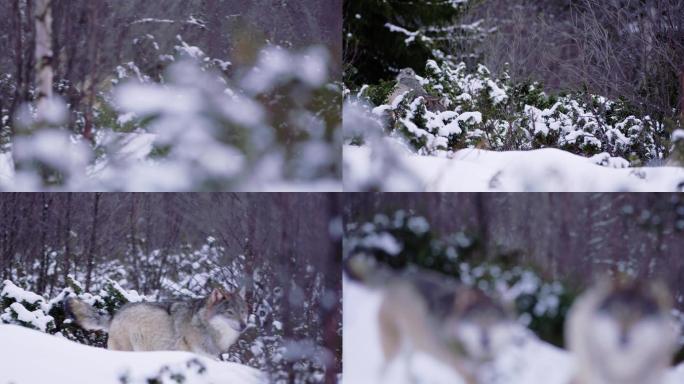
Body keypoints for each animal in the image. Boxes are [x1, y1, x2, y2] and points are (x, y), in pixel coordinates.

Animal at [348, 254, 512, 382]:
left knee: (407, 362)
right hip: (394, 346)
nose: (485, 340)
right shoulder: (464, 371)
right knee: (383, 368)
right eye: (474, 321)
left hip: (414, 340)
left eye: (494, 321)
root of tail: (400, 276)